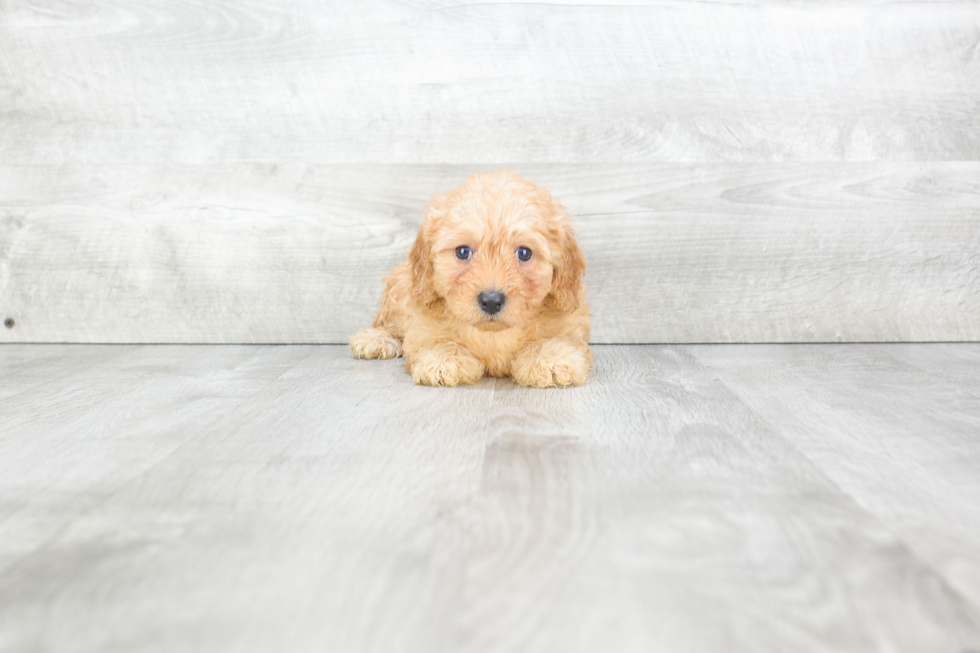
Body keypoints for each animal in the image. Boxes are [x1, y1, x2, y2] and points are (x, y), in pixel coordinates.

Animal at [354, 169, 592, 388]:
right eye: (462, 252)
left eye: (524, 253)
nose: (491, 301)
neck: (493, 335)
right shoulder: (422, 326)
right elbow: (437, 341)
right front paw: (443, 360)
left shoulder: (570, 325)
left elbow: (556, 340)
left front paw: (550, 359)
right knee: (388, 323)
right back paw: (376, 339)